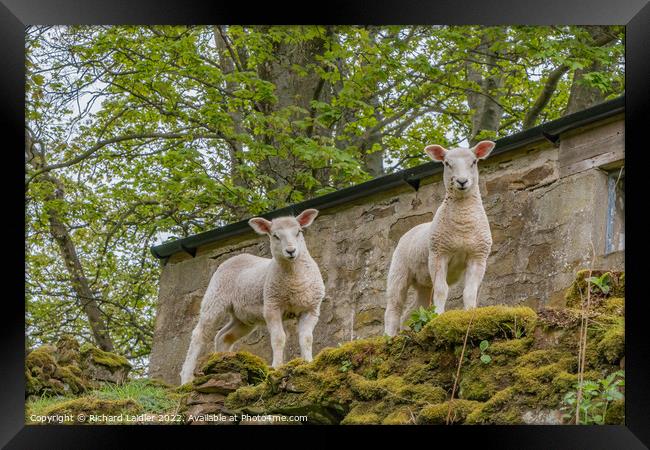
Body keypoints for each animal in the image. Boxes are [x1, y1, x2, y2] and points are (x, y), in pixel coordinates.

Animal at [180, 208, 324, 384]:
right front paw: (277, 367)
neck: (294, 279)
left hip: (243, 317)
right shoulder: (272, 306)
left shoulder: (311, 309)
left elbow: (306, 338)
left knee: (223, 336)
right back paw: (186, 378)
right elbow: (278, 338)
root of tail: (236, 256)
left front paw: (308, 364)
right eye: (275, 236)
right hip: (214, 300)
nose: (291, 251)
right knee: (199, 335)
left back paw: (221, 363)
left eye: (299, 232)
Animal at [382, 142, 494, 336]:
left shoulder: (478, 256)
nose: (462, 182)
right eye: (447, 163)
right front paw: (438, 317)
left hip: (423, 282)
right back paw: (389, 336)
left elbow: (470, 291)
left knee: (412, 310)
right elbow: (442, 291)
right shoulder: (438, 255)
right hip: (399, 270)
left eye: (474, 162)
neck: (463, 224)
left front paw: (470, 314)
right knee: (393, 308)